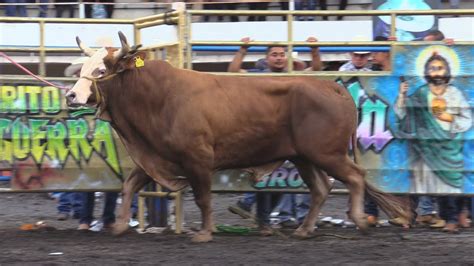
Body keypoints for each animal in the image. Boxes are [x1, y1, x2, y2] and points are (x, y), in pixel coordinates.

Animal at [65, 32, 408, 242]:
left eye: (100, 71)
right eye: (83, 68)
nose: (71, 95)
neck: (158, 96)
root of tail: (333, 87)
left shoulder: (198, 158)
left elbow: (203, 197)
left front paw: (205, 233)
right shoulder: (158, 155)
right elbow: (130, 184)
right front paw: (121, 224)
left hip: (327, 153)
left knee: (355, 177)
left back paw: (358, 219)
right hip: (304, 157)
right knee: (322, 189)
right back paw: (304, 229)